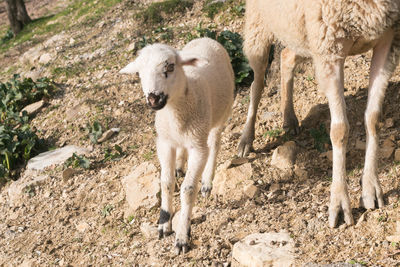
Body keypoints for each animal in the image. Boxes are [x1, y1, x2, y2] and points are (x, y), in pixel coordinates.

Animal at [120, 37, 236, 253]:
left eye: (170, 66)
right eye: (139, 72)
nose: (153, 98)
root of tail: (206, 38)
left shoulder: (198, 147)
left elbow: (188, 189)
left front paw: (182, 234)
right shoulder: (164, 143)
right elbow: (165, 183)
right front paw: (164, 222)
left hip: (222, 112)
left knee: (215, 143)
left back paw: (207, 182)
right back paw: (180, 166)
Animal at [238, 0, 400, 228]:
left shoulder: (388, 39)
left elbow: (373, 118)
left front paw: (371, 188)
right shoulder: (329, 50)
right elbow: (340, 130)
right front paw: (339, 204)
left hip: (300, 33)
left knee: (286, 56)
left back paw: (289, 119)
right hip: (259, 26)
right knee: (257, 83)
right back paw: (246, 139)